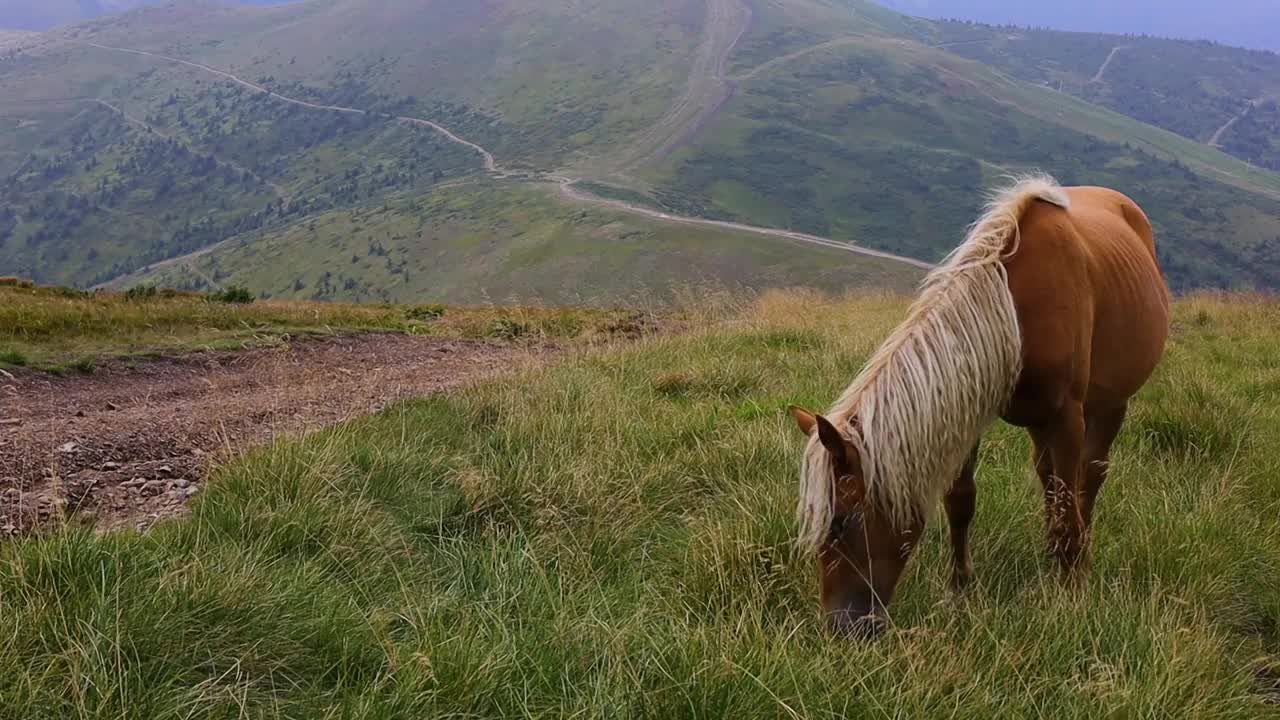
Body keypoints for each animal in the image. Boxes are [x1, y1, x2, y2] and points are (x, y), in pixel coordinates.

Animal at [783, 174, 1167, 632]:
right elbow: (962, 501)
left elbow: (1067, 502)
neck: (1015, 312)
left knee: (1088, 478)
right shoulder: (970, 408)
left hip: (1110, 404)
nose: (842, 625)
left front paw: (1071, 592)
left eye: (841, 523)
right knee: (1048, 475)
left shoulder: (1066, 418)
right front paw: (959, 590)